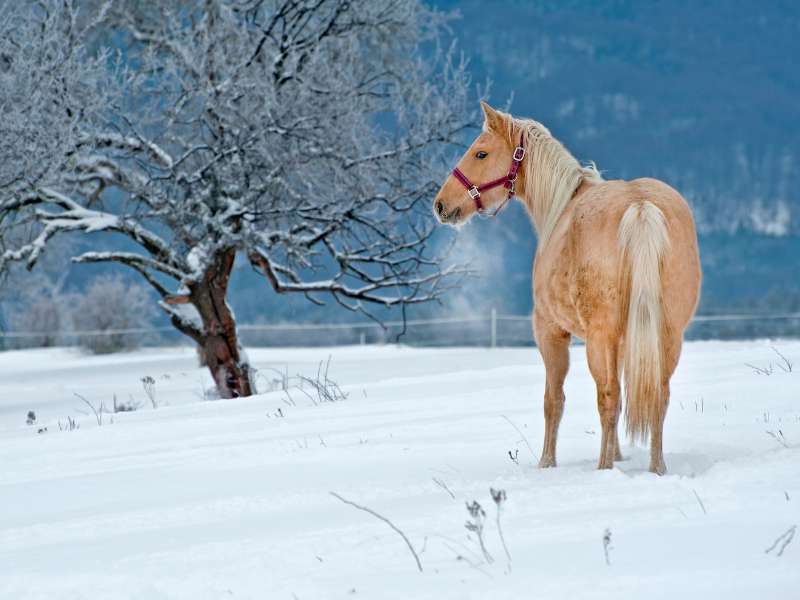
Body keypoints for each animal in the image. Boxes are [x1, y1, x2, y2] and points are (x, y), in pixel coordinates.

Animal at [434, 103, 704, 474]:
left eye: (481, 153)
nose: (441, 204)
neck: (562, 207)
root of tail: (640, 206)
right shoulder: (625, 341)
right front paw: (619, 454)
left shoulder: (550, 331)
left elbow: (554, 400)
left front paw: (547, 463)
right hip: (668, 334)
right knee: (657, 394)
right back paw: (656, 468)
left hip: (598, 338)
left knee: (607, 397)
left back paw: (604, 469)